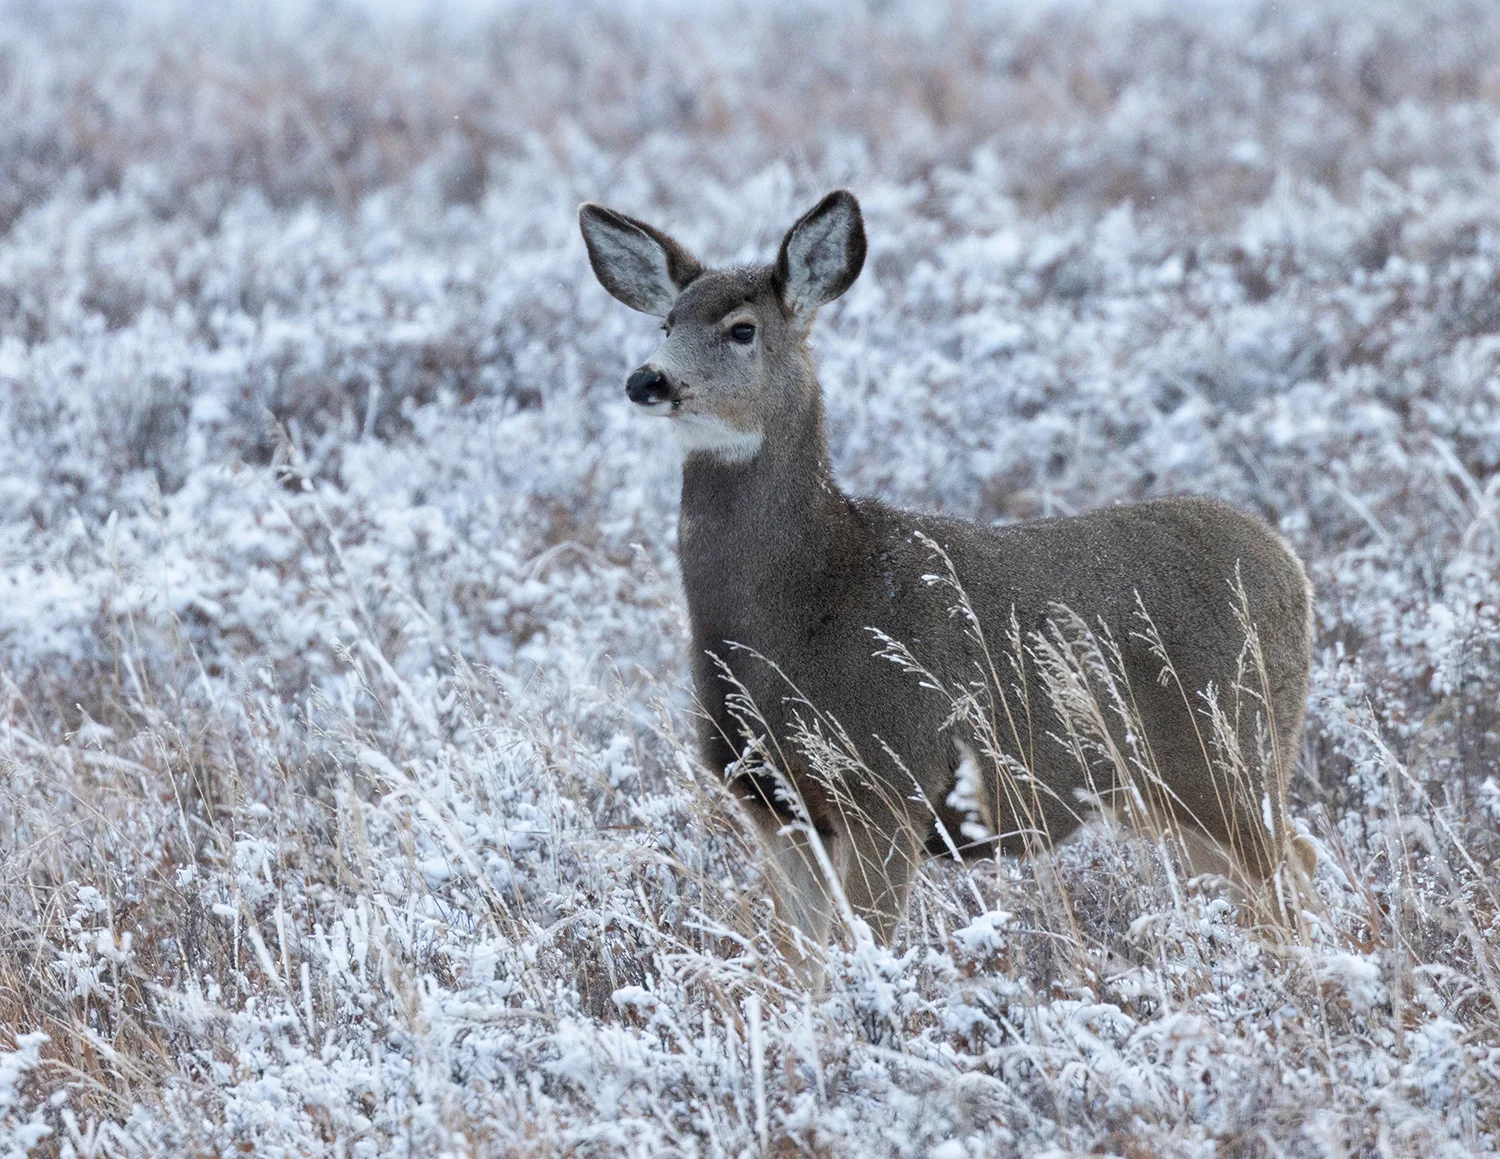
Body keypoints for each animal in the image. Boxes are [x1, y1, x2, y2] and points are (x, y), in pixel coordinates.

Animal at [579, 190, 1316, 954]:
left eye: (742, 329)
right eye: (667, 321)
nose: (647, 378)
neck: (804, 607)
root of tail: (1291, 567)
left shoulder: (890, 783)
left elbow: (863, 948)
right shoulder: (773, 803)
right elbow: (801, 961)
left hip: (1230, 743)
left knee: (1291, 863)